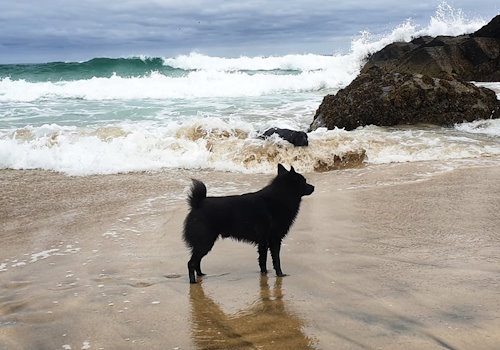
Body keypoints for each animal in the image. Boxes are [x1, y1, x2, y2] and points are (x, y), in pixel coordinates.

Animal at [182, 165, 314, 284]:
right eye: (304, 181)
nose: (313, 187)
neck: (280, 198)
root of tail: (197, 204)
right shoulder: (274, 240)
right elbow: (276, 260)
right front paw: (280, 274)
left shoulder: (263, 242)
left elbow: (263, 261)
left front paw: (264, 274)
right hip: (205, 242)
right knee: (191, 263)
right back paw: (193, 281)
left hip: (204, 244)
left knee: (197, 261)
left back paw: (201, 275)